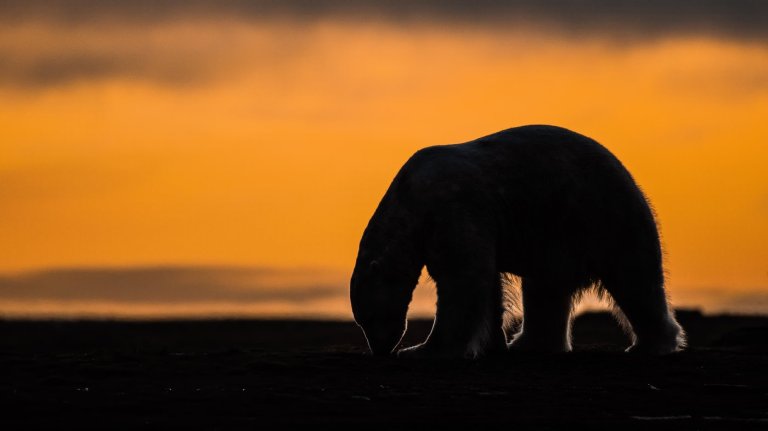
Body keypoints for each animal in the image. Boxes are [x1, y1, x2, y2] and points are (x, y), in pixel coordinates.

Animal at [350, 125, 685, 358]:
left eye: (369, 317)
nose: (381, 348)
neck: (411, 200)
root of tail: (627, 174)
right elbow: (487, 285)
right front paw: (493, 343)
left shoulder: (452, 207)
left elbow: (462, 279)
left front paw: (423, 348)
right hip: (555, 237)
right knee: (546, 290)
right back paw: (529, 344)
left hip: (603, 217)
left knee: (634, 278)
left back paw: (651, 344)